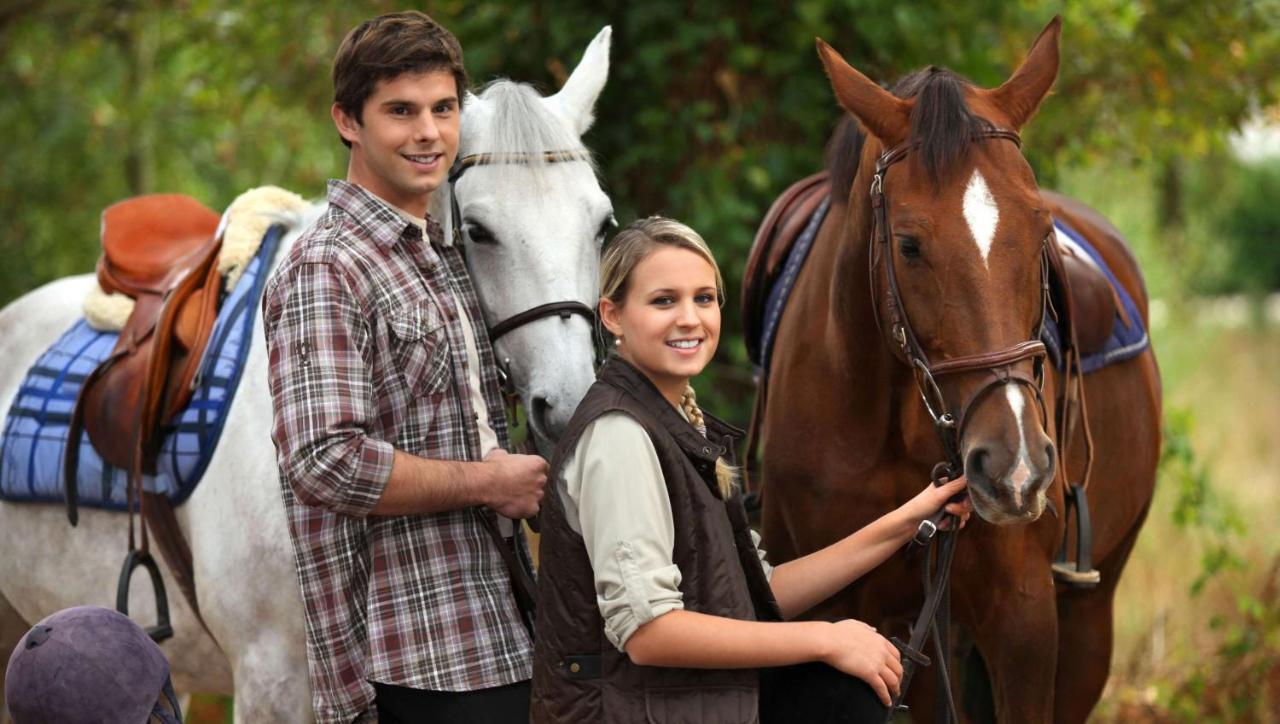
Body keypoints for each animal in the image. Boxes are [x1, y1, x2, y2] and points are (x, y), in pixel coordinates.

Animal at [752, 18, 1167, 724]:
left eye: (1042, 235)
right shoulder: (831, 617)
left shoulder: (1023, 621)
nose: (1014, 467)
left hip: (1087, 619)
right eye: (909, 245)